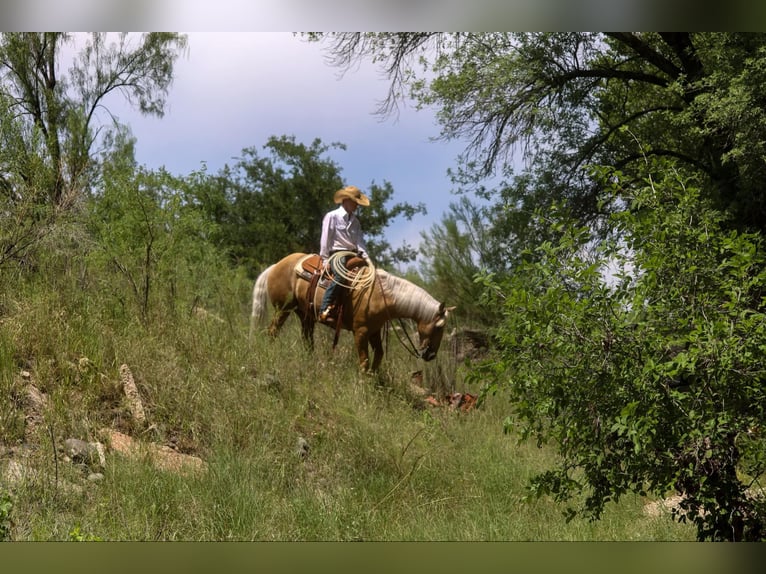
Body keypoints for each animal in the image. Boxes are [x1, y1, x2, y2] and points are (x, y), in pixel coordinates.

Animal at [250, 252, 454, 371]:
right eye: (439, 327)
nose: (431, 355)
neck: (380, 296)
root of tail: (276, 265)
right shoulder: (361, 332)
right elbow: (364, 361)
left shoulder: (374, 332)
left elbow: (378, 355)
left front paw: (374, 379)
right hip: (283, 309)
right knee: (273, 331)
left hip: (305, 315)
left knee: (307, 340)